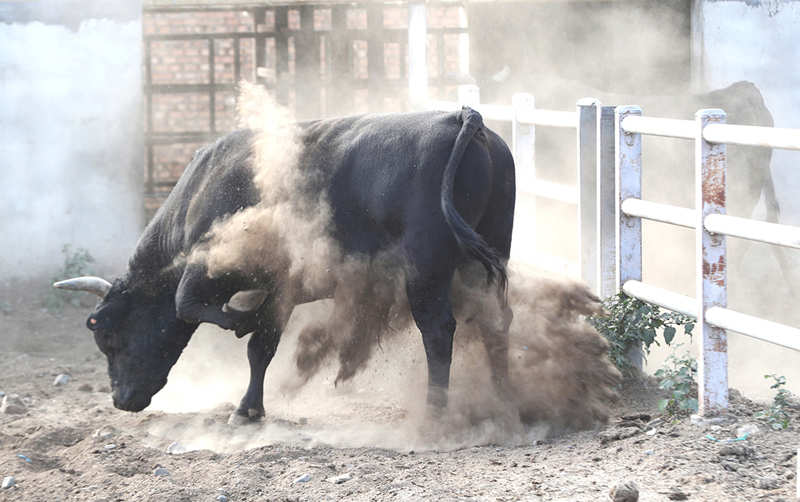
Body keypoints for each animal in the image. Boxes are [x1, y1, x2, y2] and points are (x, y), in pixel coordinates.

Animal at [57, 110, 520, 420]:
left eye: (110, 335)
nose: (120, 400)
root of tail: (461, 119)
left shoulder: (214, 269)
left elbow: (189, 305)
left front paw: (238, 326)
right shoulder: (282, 287)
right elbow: (261, 346)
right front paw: (249, 408)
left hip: (426, 270)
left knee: (437, 330)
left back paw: (434, 412)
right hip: (490, 251)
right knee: (495, 321)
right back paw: (504, 397)